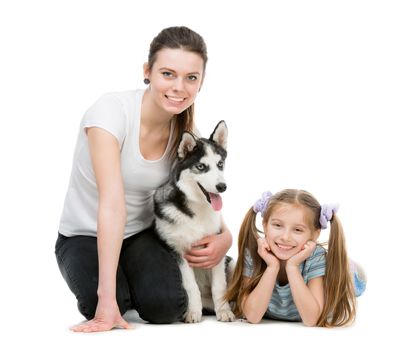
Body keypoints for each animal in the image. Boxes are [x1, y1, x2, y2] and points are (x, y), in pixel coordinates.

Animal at [153, 120, 234, 322]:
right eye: (201, 167)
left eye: (220, 164)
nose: (222, 187)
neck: (198, 208)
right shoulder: (179, 251)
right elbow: (190, 286)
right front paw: (192, 312)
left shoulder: (217, 249)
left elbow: (219, 286)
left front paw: (224, 311)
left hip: (231, 262)